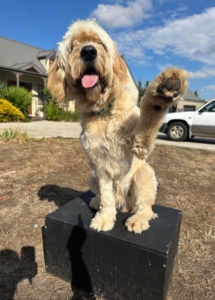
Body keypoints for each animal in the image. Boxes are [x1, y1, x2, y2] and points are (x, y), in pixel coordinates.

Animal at [47, 19, 188, 234]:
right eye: (73, 45)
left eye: (99, 43)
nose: (88, 51)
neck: (103, 111)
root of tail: (125, 204)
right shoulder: (99, 165)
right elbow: (107, 197)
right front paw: (105, 217)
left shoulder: (139, 144)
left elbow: (149, 118)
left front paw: (162, 93)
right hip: (92, 177)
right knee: (108, 197)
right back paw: (97, 202)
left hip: (145, 174)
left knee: (146, 208)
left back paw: (138, 219)